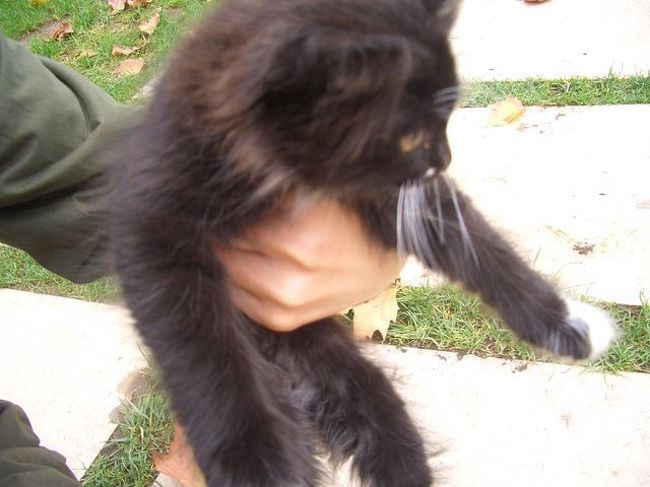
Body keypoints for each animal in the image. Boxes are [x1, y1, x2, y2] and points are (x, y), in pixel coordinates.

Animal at [110, 0, 616, 485]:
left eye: (446, 121)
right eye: (412, 135)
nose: (445, 159)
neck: (276, 173)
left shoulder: (388, 190)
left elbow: (474, 242)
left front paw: (567, 322)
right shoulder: (150, 226)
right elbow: (203, 353)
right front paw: (256, 463)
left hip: (343, 374)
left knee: (386, 428)